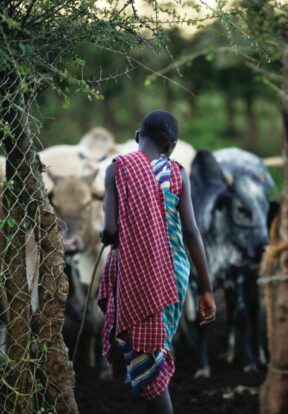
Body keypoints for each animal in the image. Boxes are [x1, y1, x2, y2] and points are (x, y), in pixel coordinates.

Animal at [189, 147, 274, 376]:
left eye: (266, 208)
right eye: (242, 209)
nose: (264, 247)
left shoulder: (240, 272)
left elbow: (242, 316)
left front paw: (250, 362)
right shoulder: (195, 281)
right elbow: (199, 320)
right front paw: (203, 367)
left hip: (252, 277)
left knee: (253, 311)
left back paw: (260, 355)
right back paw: (229, 352)